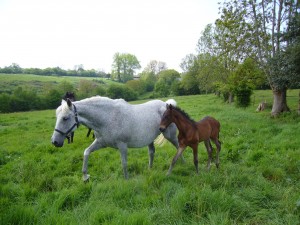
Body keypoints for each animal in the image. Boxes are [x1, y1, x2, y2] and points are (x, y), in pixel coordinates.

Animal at [50, 96, 179, 181]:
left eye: (65, 118)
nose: (55, 141)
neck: (107, 118)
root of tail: (166, 105)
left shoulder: (122, 145)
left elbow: (124, 163)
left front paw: (127, 180)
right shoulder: (100, 143)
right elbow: (86, 152)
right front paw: (85, 176)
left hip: (170, 136)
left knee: (179, 148)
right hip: (149, 139)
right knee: (152, 152)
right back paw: (149, 170)